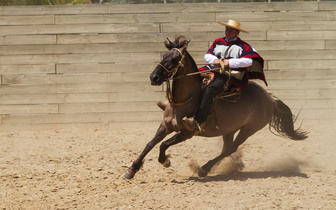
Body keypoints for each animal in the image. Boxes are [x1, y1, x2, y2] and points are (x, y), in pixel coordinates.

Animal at [123, 35, 308, 180]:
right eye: (164, 55)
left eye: (175, 59)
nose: (153, 77)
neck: (186, 100)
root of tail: (269, 97)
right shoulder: (165, 126)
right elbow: (150, 144)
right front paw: (132, 169)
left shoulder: (187, 132)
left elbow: (163, 145)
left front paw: (165, 161)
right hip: (230, 129)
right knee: (227, 148)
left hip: (249, 129)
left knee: (231, 149)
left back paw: (204, 169)